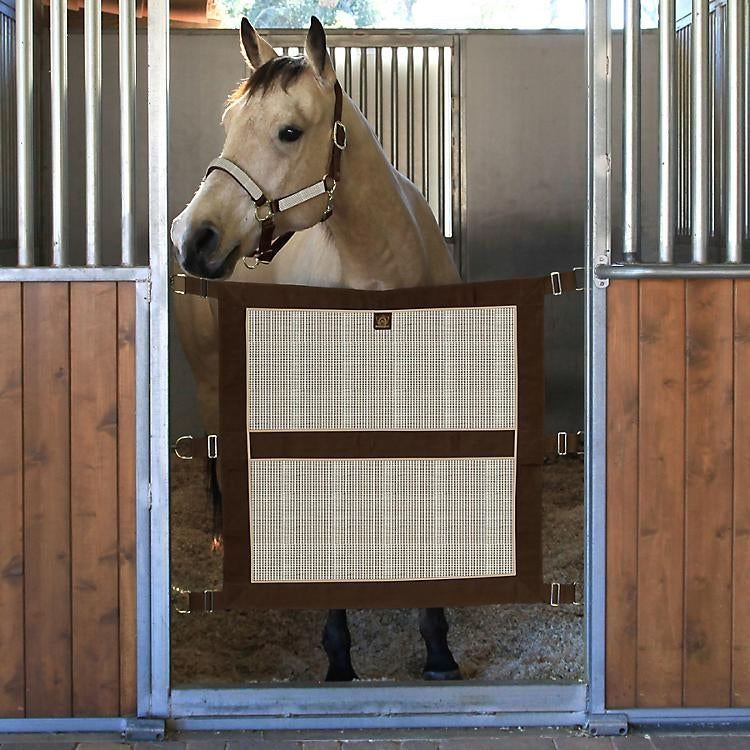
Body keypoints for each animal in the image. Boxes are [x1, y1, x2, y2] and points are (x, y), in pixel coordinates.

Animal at [171, 14, 464, 684]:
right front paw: (338, 654)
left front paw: (437, 646)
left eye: (288, 131)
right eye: (230, 123)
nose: (193, 237)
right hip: (210, 377)